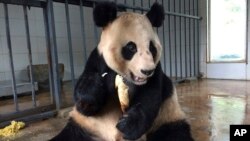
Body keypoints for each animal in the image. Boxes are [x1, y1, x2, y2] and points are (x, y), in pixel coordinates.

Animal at [51, 1, 193, 141]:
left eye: (151, 47)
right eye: (131, 47)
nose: (147, 71)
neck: (125, 76)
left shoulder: (156, 70)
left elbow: (150, 97)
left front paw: (128, 125)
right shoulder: (98, 60)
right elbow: (86, 105)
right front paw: (94, 87)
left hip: (166, 117)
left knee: (174, 133)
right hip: (85, 127)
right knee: (69, 135)